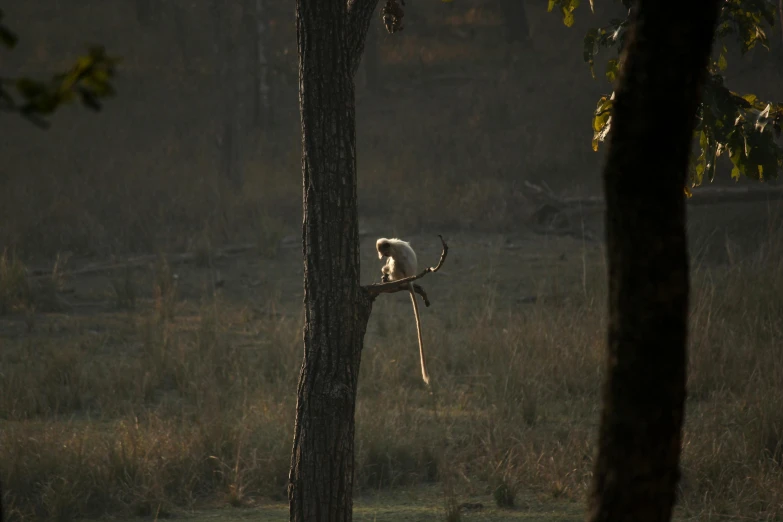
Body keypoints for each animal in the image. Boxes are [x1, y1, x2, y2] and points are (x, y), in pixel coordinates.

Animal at [376, 238, 432, 384]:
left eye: (384, 252)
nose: (382, 256)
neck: (392, 244)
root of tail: (409, 280)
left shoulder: (395, 252)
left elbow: (392, 262)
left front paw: (385, 270)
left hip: (401, 274)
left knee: (394, 263)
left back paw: (389, 278)